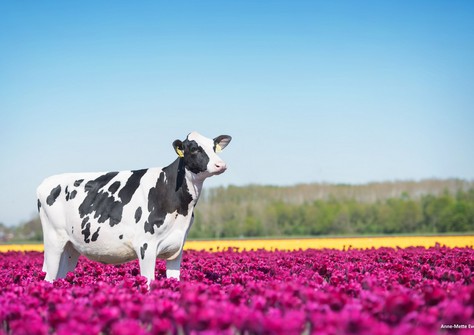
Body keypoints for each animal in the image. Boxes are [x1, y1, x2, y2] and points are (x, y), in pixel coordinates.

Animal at [37, 133, 231, 284]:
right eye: (194, 149)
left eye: (214, 147)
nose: (221, 165)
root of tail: (46, 181)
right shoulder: (146, 245)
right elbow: (149, 282)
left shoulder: (177, 248)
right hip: (53, 240)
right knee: (49, 278)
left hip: (70, 247)